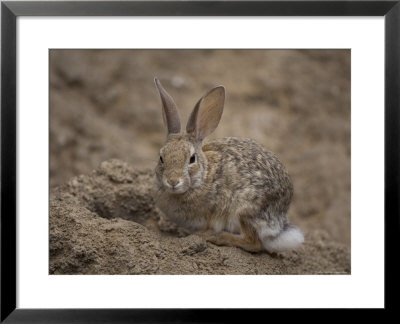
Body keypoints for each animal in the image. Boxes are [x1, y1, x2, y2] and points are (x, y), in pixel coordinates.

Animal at [153, 78, 304, 253]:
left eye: (192, 159)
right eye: (161, 158)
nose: (173, 181)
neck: (203, 177)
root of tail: (280, 227)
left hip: (244, 210)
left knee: (254, 243)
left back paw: (216, 237)